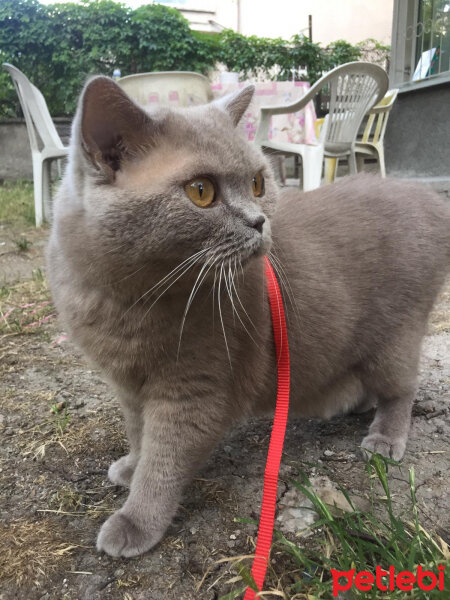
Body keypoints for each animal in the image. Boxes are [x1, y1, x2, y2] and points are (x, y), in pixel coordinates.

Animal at [46, 76, 450, 556]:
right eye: (201, 191)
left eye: (258, 183)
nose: (259, 221)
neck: (129, 302)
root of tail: (427, 197)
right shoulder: (126, 385)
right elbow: (137, 431)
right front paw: (130, 465)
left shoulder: (195, 389)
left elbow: (164, 457)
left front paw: (136, 519)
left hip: (395, 333)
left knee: (400, 389)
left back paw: (384, 438)